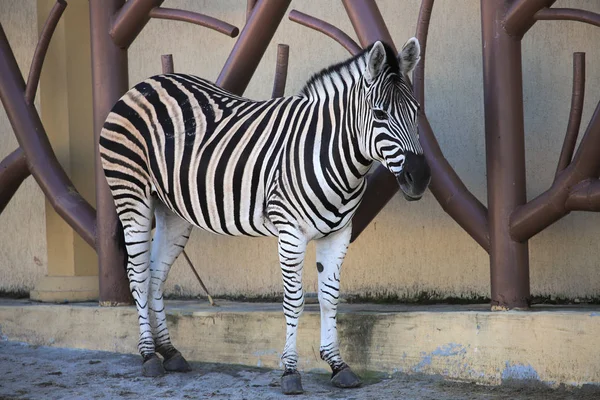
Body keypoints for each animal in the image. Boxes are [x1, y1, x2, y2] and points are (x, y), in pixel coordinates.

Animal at [99, 38, 432, 396]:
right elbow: (295, 300)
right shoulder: (291, 233)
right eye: (380, 114)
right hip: (131, 195)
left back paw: (170, 352)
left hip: (171, 210)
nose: (420, 178)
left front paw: (337, 365)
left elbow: (330, 298)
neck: (330, 152)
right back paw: (149, 356)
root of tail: (145, 83)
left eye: (416, 111)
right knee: (138, 275)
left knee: (156, 275)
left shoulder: (339, 233)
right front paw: (290, 372)